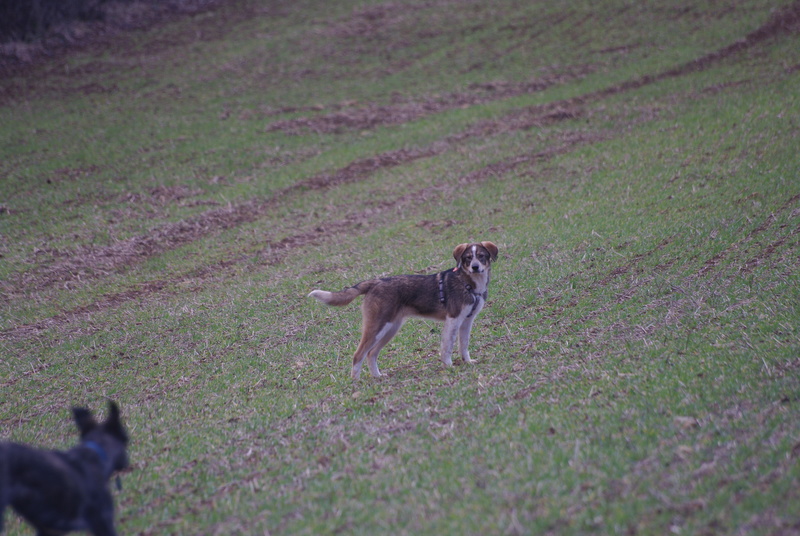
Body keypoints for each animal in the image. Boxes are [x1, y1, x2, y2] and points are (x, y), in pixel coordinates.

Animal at [310, 241, 496, 378]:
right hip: (377, 327)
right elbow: (447, 347)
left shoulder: (467, 321)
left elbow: (463, 345)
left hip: (390, 329)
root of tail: (376, 282)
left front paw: (467, 362)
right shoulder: (453, 319)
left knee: (371, 354)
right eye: (468, 258)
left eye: (481, 256)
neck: (468, 283)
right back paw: (356, 382)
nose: (475, 267)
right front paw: (449, 366)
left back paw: (377, 377)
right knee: (359, 354)